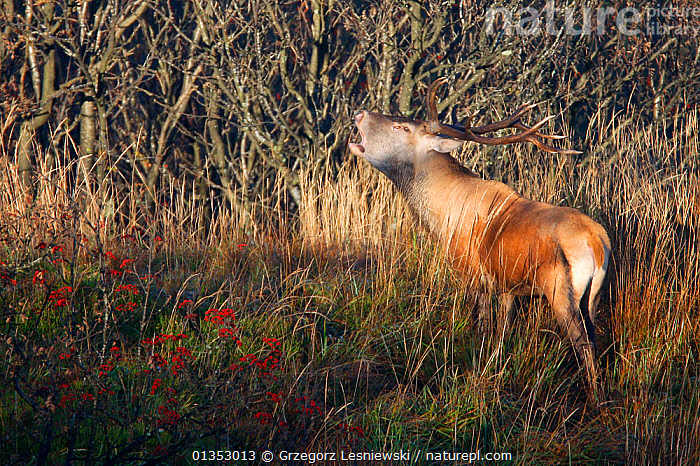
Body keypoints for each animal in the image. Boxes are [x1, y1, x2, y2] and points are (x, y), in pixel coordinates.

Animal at [348, 77, 610, 394]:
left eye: (403, 128)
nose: (359, 113)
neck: (442, 218)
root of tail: (597, 243)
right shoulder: (508, 287)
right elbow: (502, 333)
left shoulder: (473, 274)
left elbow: (483, 329)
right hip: (594, 295)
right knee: (594, 337)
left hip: (560, 290)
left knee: (584, 344)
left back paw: (594, 395)